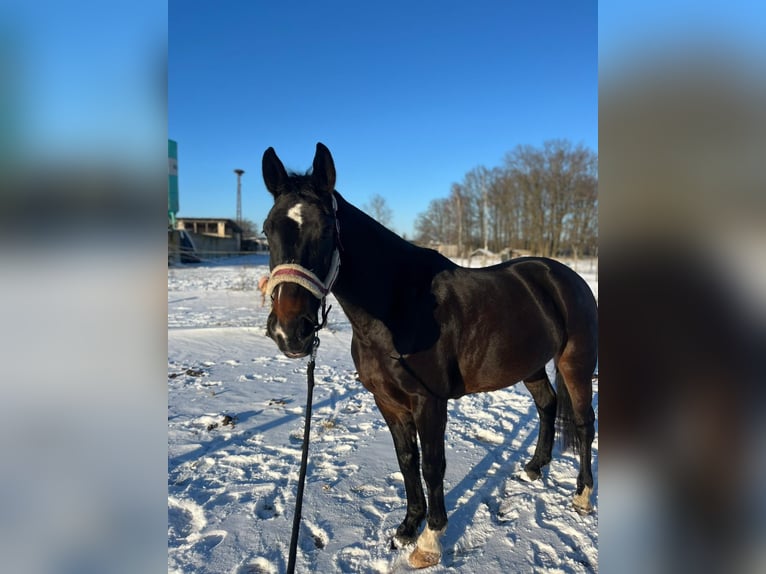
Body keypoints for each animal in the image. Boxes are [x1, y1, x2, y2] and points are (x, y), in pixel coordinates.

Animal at [261, 143, 598, 568]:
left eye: (324, 231)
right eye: (266, 231)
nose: (290, 332)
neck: (398, 306)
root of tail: (564, 276)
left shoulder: (429, 401)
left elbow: (432, 465)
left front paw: (430, 541)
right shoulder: (388, 402)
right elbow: (407, 460)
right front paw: (407, 528)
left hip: (576, 364)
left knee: (584, 423)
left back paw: (583, 496)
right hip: (531, 365)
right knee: (547, 405)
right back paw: (535, 468)